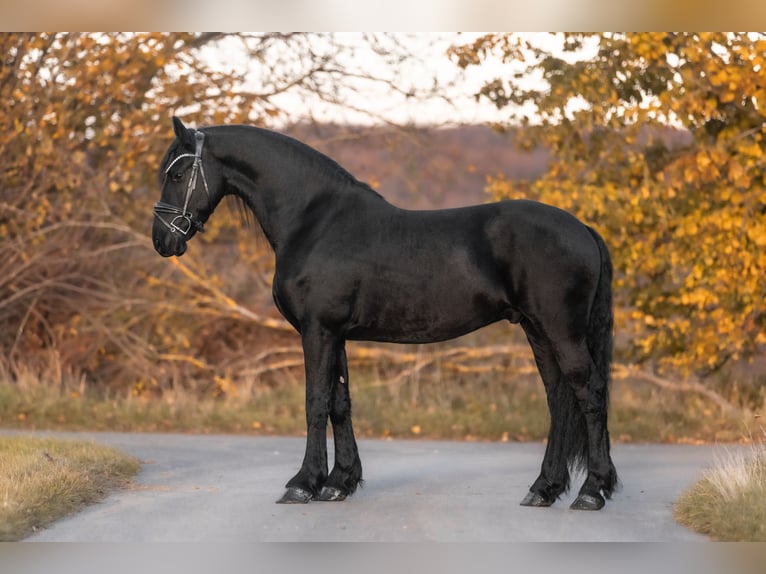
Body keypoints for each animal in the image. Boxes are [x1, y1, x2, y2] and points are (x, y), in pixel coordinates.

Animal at [152, 116, 618, 511]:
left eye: (176, 174)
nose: (162, 240)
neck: (314, 221)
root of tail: (583, 229)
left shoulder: (317, 330)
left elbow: (315, 401)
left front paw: (303, 483)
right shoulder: (334, 333)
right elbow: (339, 402)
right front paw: (339, 482)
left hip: (561, 330)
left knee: (589, 393)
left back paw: (591, 492)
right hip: (537, 329)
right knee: (558, 397)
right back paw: (544, 489)